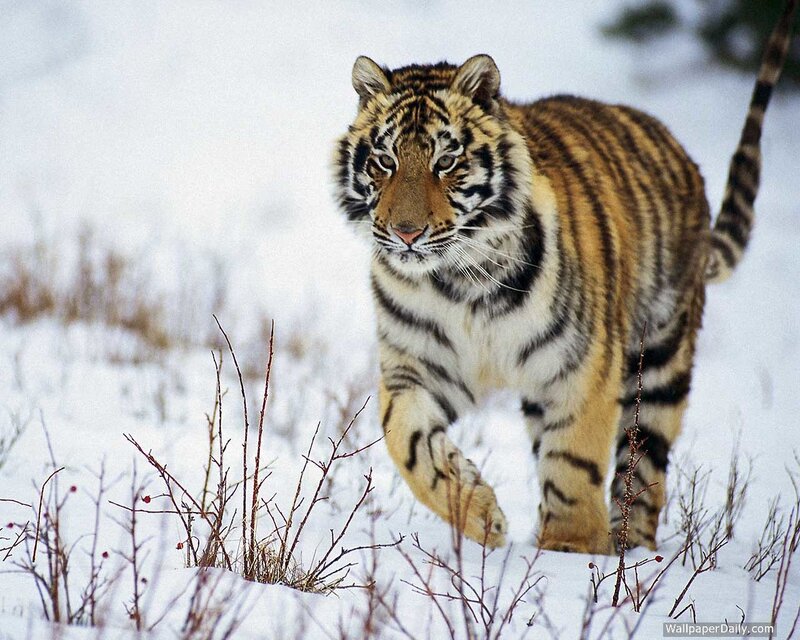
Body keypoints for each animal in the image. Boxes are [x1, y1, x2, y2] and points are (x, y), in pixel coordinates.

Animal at [333, 1, 797, 554]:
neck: (461, 281)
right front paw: (481, 515)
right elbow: (406, 440)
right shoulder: (418, 365)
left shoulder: (582, 364)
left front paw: (571, 550)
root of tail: (680, 153)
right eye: (385, 160)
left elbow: (575, 459)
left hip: (661, 361)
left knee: (645, 470)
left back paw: (630, 552)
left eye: (446, 161)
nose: (406, 233)